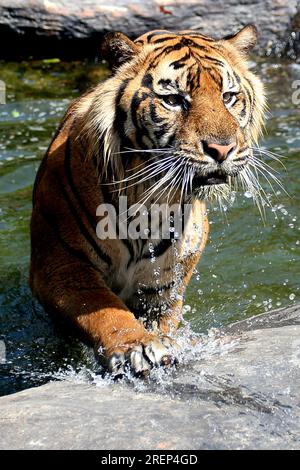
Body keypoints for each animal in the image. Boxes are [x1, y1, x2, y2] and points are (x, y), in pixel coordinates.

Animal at [29, 26, 264, 378]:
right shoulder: (61, 264)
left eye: (228, 97)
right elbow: (101, 308)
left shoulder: (163, 281)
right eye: (174, 100)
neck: (151, 199)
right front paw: (135, 347)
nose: (222, 149)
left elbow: (162, 319)